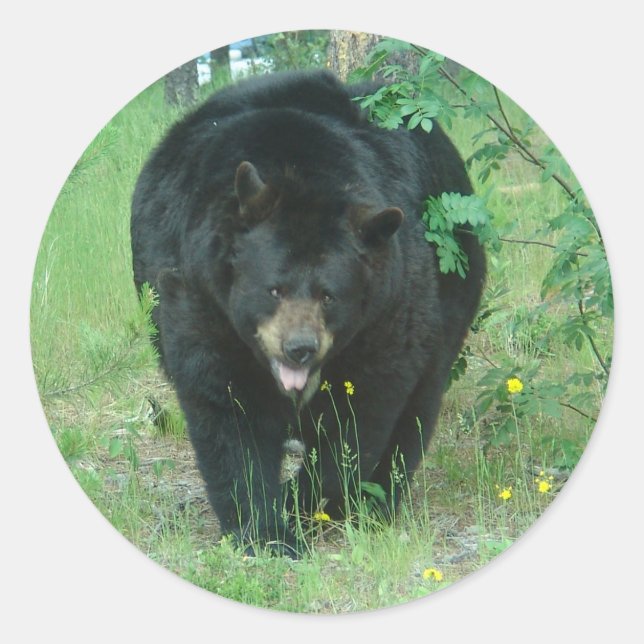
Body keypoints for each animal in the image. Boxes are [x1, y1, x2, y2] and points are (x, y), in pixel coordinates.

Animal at [131, 69, 485, 557]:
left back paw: (379, 501)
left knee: (418, 409)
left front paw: (303, 501)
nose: (299, 348)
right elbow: (226, 410)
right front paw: (264, 532)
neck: (298, 171)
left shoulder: (389, 311)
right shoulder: (200, 295)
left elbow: (361, 418)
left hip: (451, 301)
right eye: (273, 289)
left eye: (329, 295)